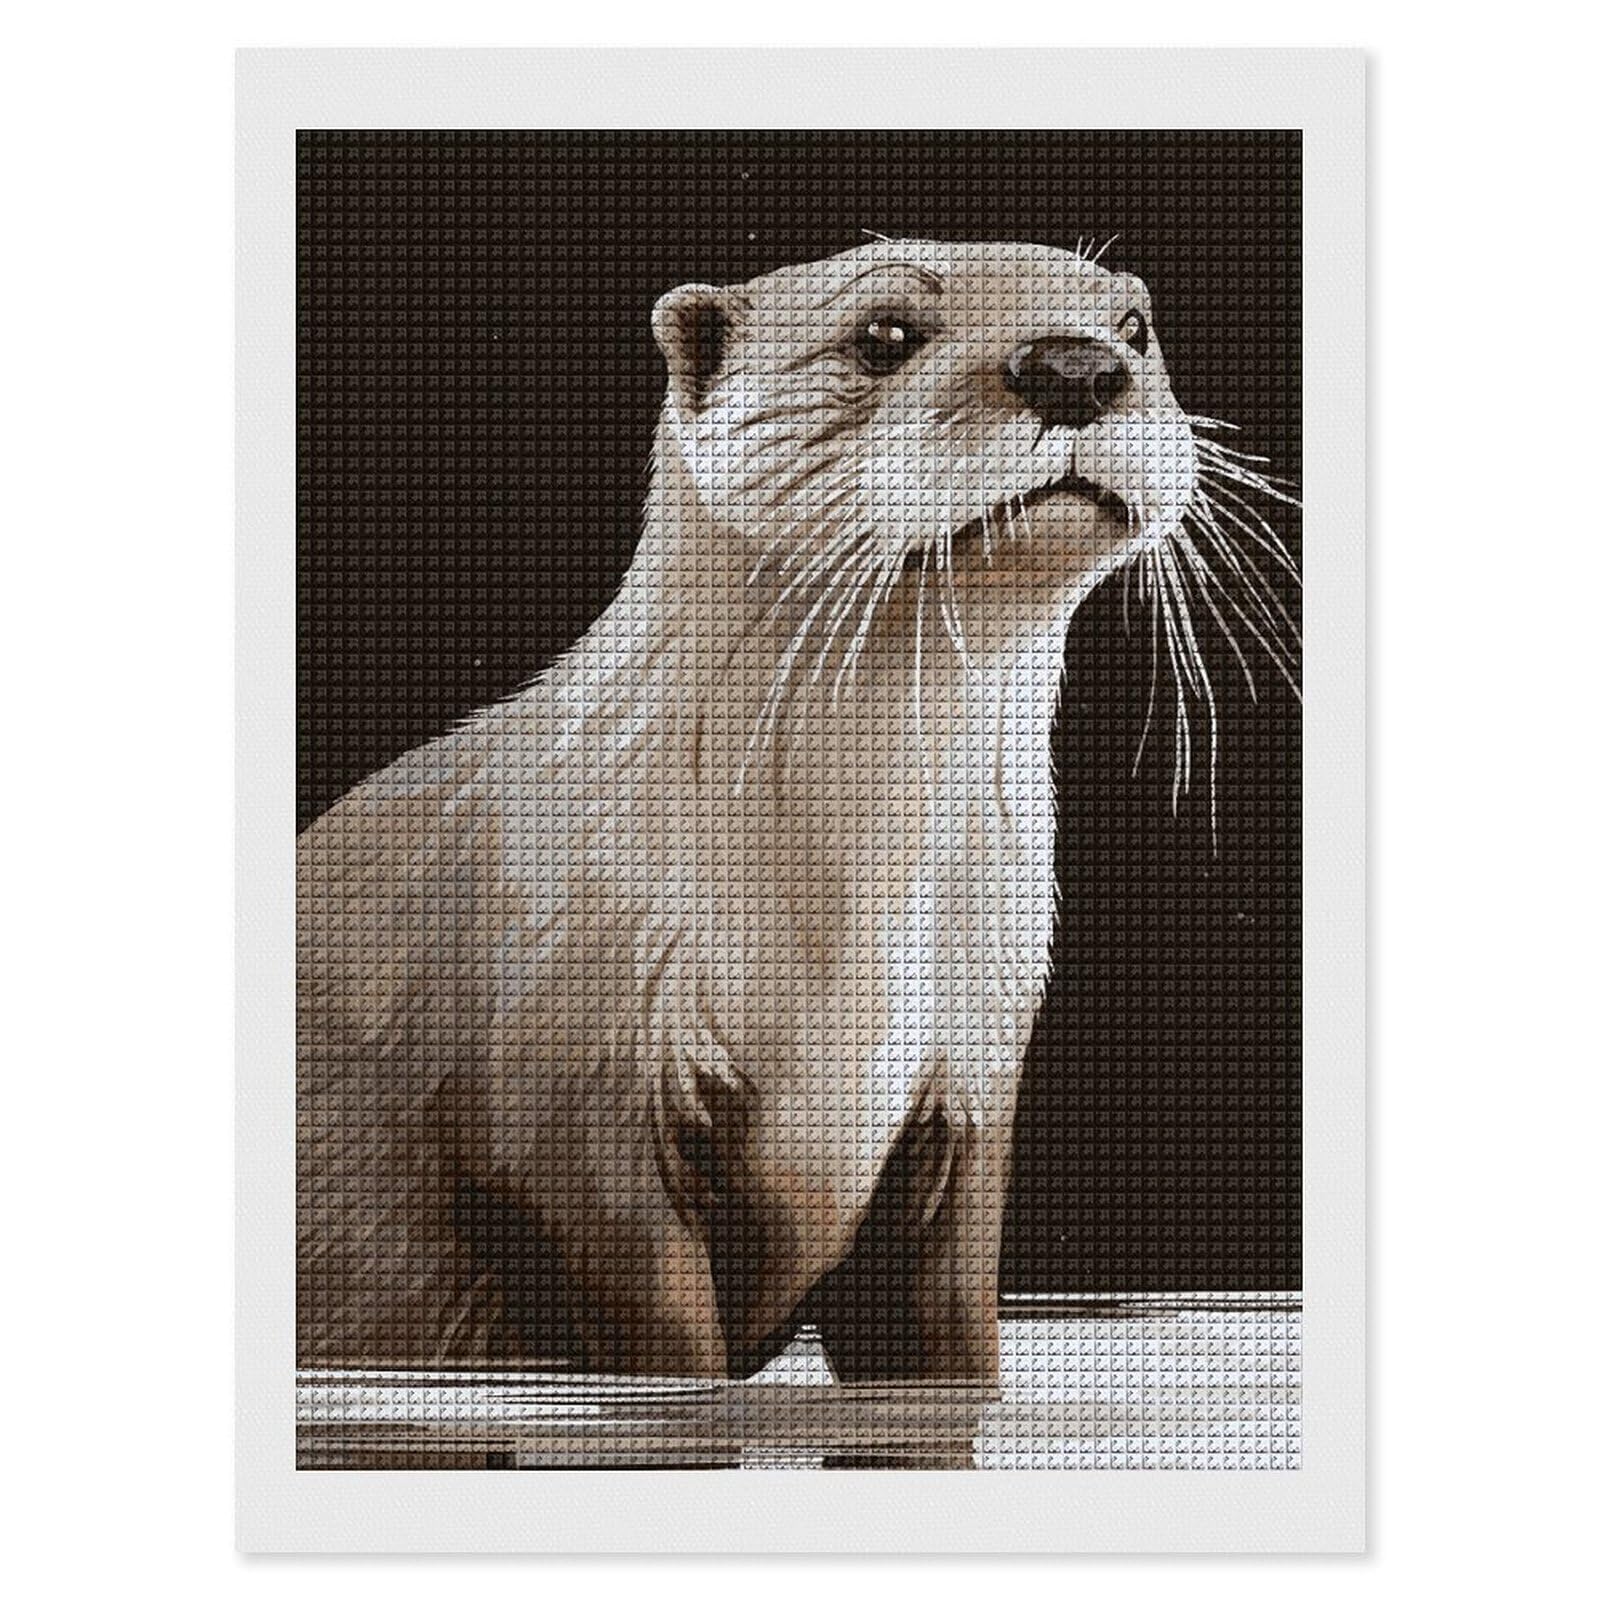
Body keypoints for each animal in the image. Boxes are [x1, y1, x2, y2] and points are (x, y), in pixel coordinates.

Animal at [298, 238, 1284, 1385]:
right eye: (886, 332)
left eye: (1134, 326)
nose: (1075, 368)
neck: (847, 928)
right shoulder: (575, 1087)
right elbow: (664, 1333)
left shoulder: (971, 1074)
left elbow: (941, 1333)